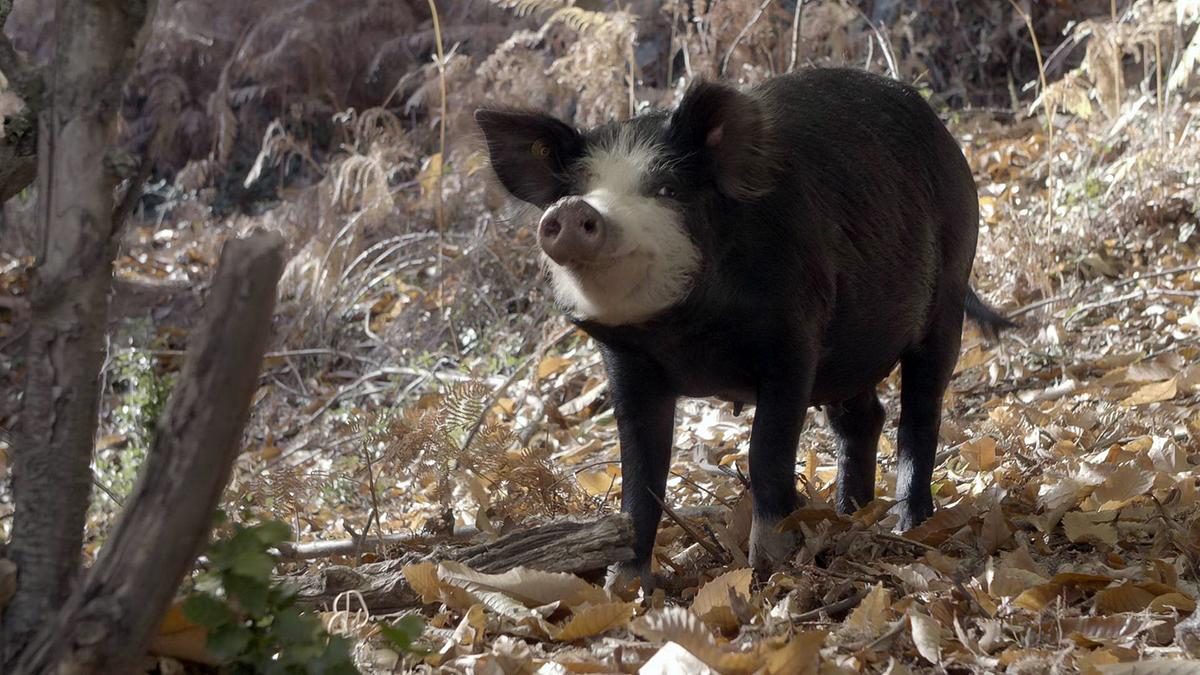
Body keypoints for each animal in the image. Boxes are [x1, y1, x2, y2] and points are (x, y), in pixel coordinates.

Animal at [475, 65, 1012, 586]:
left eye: (668, 188)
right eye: (575, 190)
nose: (571, 211)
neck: (683, 336)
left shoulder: (794, 339)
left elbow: (766, 453)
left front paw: (769, 569)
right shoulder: (628, 363)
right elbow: (640, 478)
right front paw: (625, 588)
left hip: (948, 293)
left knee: (920, 413)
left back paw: (910, 527)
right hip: (851, 350)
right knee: (863, 419)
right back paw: (849, 517)